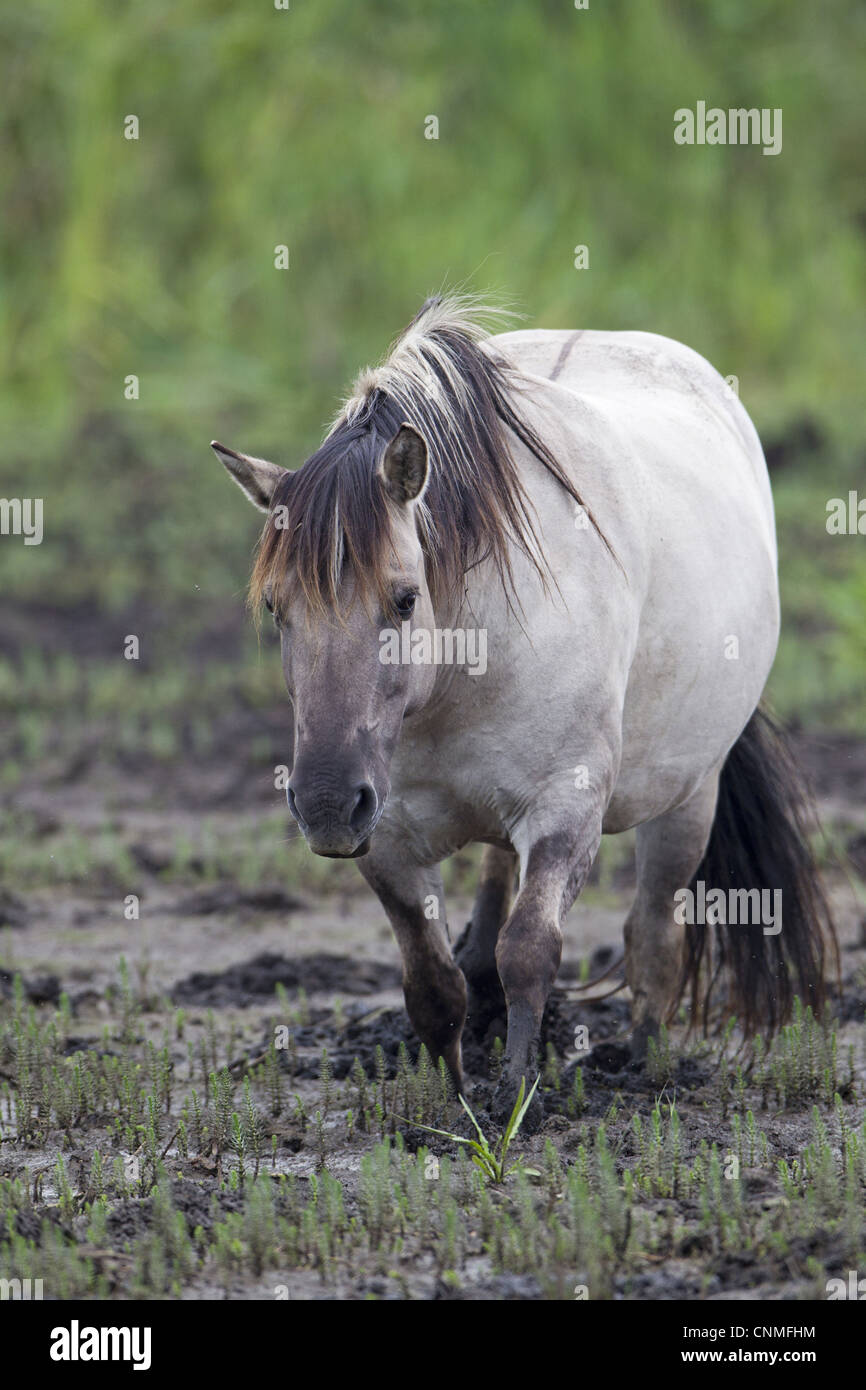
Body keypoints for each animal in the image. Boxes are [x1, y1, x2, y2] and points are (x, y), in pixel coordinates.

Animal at [211, 294, 835, 1126]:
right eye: (277, 609)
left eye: (403, 600)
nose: (326, 806)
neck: (460, 674)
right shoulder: (388, 841)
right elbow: (433, 981)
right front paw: (455, 1093)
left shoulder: (565, 812)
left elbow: (530, 950)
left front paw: (514, 1096)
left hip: (688, 799)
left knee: (652, 941)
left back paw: (645, 1069)